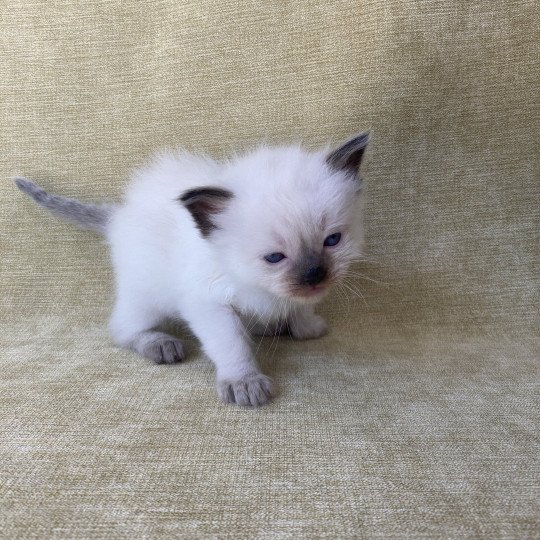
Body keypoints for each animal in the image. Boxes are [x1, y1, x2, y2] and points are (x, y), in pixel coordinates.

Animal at [13, 133, 368, 408]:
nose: (314, 276)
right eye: (274, 257)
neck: (255, 284)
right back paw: (159, 344)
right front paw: (244, 382)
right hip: (145, 295)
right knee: (122, 329)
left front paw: (306, 327)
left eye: (332, 240)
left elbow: (300, 308)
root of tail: (118, 215)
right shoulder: (207, 302)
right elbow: (230, 343)